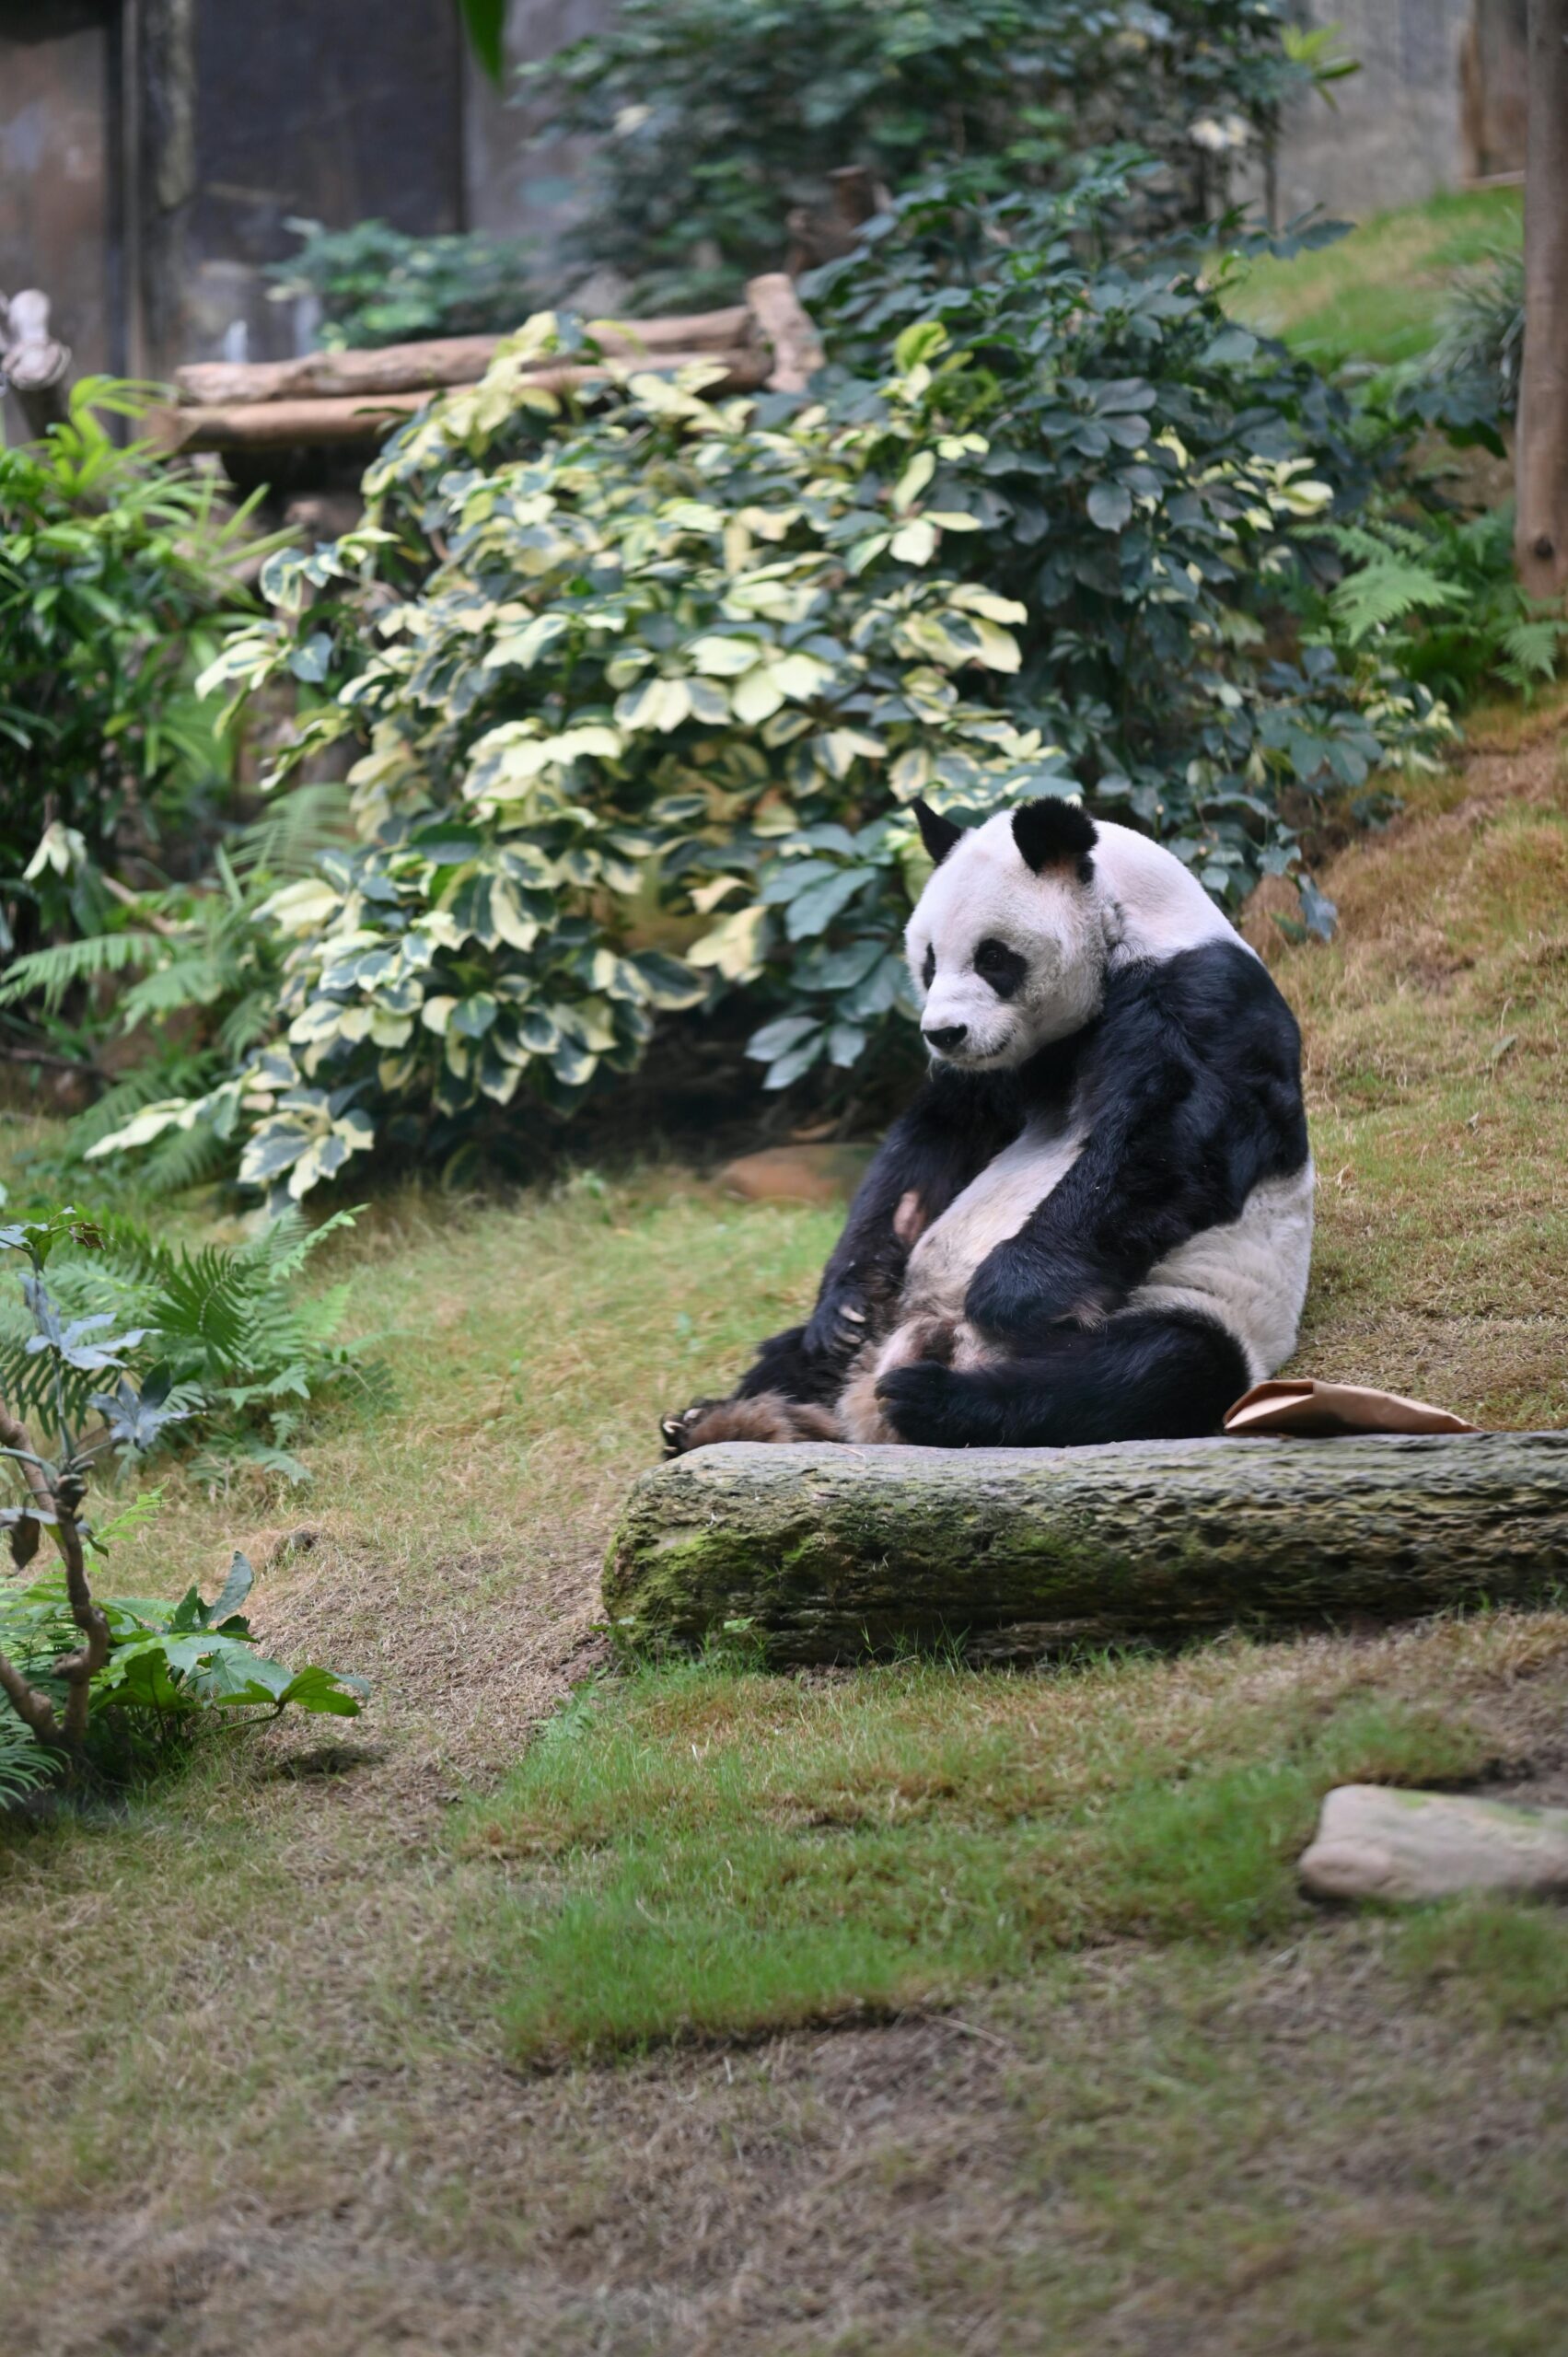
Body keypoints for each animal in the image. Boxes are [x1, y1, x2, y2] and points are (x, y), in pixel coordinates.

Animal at [660, 796, 1310, 1451]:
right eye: (927, 961)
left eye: (992, 957)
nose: (942, 1034)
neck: (1133, 925)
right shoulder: (1003, 1072)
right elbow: (931, 1146)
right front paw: (847, 1304)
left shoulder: (1205, 993)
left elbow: (1177, 1136)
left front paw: (1008, 1290)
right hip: (891, 1320)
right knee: (797, 1355)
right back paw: (730, 1420)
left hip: (1197, 1303)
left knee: (1143, 1370)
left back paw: (932, 1399)